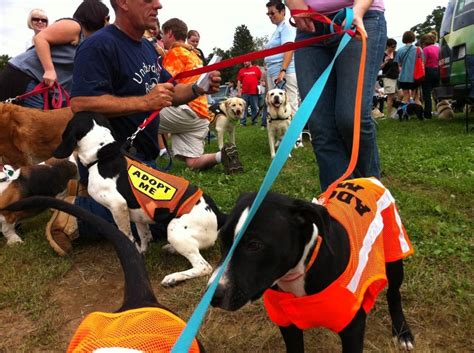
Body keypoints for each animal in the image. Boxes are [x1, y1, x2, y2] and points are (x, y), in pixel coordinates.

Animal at [52, 112, 227, 286]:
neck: (103, 156)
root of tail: (220, 216)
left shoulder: (118, 206)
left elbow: (127, 236)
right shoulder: (139, 215)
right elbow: (144, 236)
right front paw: (142, 252)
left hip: (174, 229)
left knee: (204, 267)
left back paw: (173, 277)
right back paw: (171, 249)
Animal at [211, 179, 414, 352]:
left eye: (254, 245)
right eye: (221, 240)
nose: (213, 295)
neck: (302, 269)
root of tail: (366, 179)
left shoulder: (352, 330)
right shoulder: (287, 324)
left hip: (394, 255)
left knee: (393, 294)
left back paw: (402, 332)